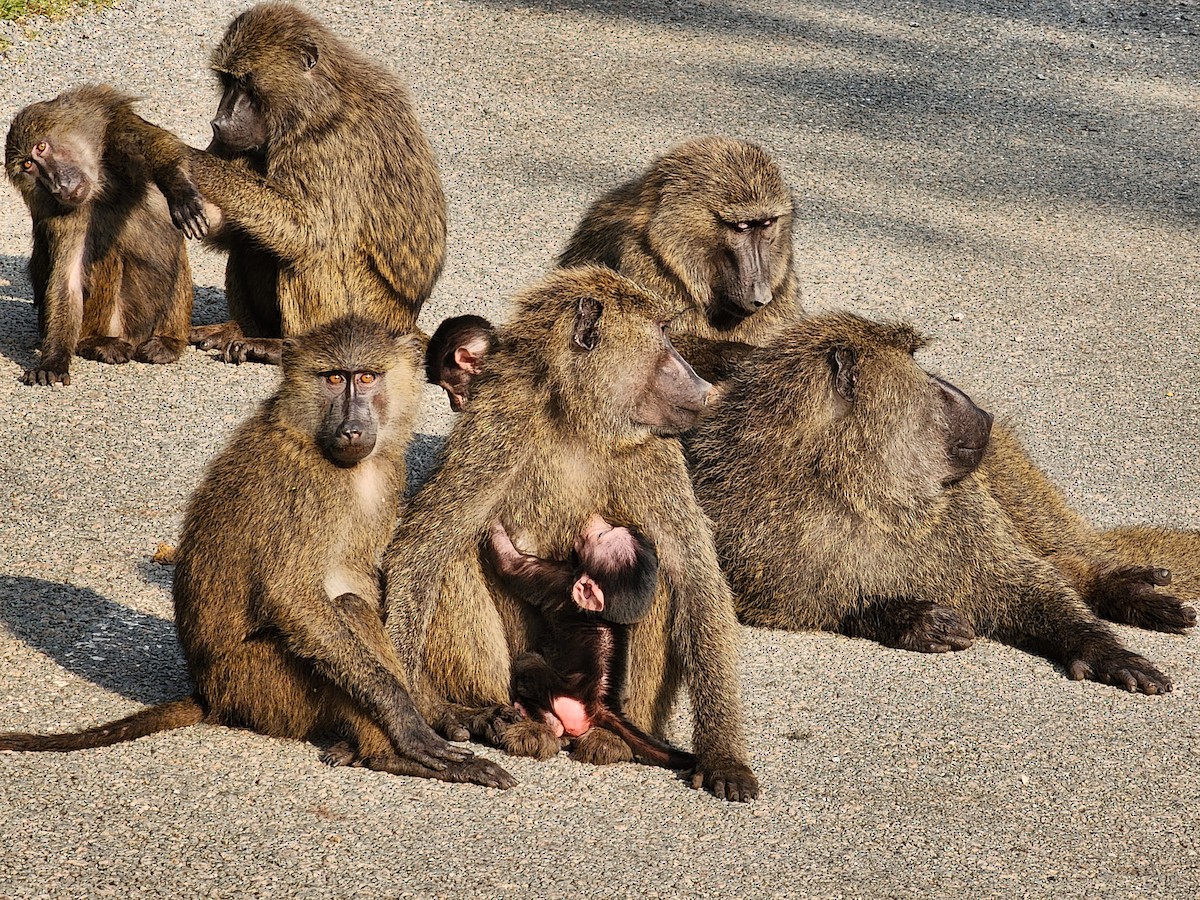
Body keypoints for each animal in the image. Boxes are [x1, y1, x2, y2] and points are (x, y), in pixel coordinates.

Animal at [0, 315, 515, 790]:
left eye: (367, 377)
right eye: (334, 378)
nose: (351, 429)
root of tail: (211, 694)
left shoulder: (387, 472)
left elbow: (370, 578)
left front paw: (433, 706)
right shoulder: (306, 488)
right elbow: (293, 596)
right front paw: (411, 726)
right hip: (260, 686)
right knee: (348, 613)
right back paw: (390, 755)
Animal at [4, 84, 198, 386]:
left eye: (41, 147)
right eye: (27, 165)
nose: (58, 185)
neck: (103, 186)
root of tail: (136, 338)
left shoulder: (114, 127)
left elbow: (158, 144)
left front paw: (180, 190)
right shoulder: (67, 216)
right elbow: (68, 280)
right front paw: (53, 362)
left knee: (177, 258)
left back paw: (168, 342)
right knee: (106, 258)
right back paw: (97, 342)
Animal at [148, 2, 447, 365]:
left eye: (246, 83)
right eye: (228, 81)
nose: (219, 122)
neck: (312, 104)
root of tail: (407, 324)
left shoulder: (329, 146)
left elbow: (308, 231)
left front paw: (181, 156)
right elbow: (230, 230)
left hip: (371, 314)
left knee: (314, 251)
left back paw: (283, 347)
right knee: (251, 237)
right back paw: (245, 331)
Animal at [481, 516, 696, 770]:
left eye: (601, 536)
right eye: (607, 530)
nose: (597, 520)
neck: (603, 615)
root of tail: (600, 704)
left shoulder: (560, 579)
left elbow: (512, 565)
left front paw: (494, 527)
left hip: (560, 693)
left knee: (528, 663)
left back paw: (541, 718)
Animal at [685, 312, 1177, 695]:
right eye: (919, 370)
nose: (980, 410)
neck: (859, 491)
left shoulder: (963, 510)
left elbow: (1023, 580)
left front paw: (1101, 648)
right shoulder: (744, 525)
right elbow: (780, 602)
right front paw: (911, 618)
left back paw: (1115, 587)